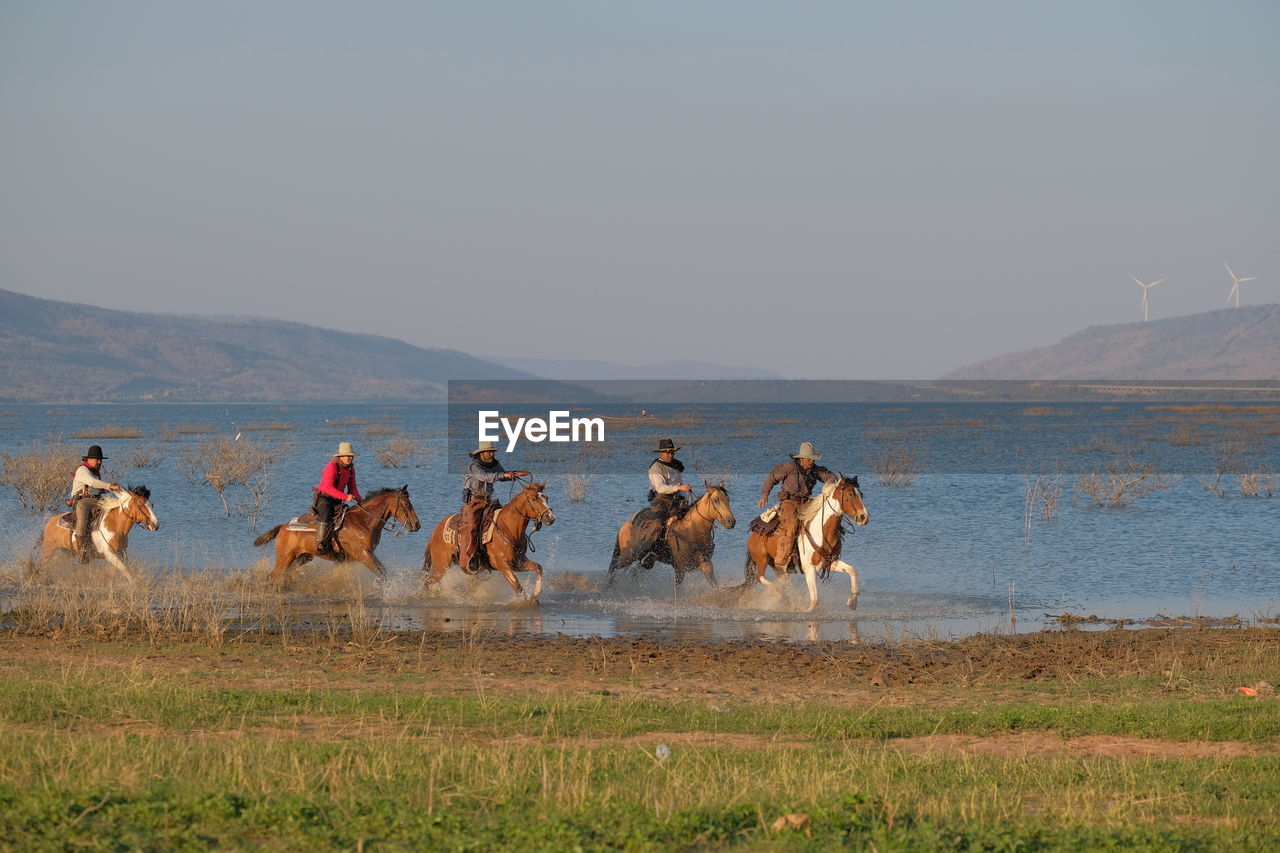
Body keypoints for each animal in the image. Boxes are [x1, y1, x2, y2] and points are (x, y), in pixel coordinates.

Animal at [253, 484, 419, 584]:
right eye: (406, 504)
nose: (417, 525)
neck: (363, 521)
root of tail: (283, 527)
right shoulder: (363, 554)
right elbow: (382, 572)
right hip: (285, 558)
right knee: (274, 575)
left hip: (303, 557)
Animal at [424, 481, 555, 601]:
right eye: (534, 499)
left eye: (547, 498)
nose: (551, 517)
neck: (508, 528)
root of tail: (436, 530)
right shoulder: (502, 564)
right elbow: (518, 587)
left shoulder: (518, 562)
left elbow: (538, 567)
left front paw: (536, 592)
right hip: (440, 565)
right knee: (430, 583)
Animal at [609, 481, 742, 589]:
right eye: (716, 500)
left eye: (728, 500)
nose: (731, 522)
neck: (693, 530)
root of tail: (625, 525)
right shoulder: (680, 568)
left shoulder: (704, 563)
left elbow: (713, 582)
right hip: (627, 557)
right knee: (613, 568)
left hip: (645, 560)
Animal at [742, 473, 870, 607]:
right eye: (850, 494)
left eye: (861, 494)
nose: (864, 517)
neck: (820, 531)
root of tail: (754, 533)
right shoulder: (809, 569)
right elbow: (815, 600)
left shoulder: (829, 562)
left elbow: (852, 570)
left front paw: (852, 602)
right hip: (761, 559)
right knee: (760, 577)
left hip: (776, 565)